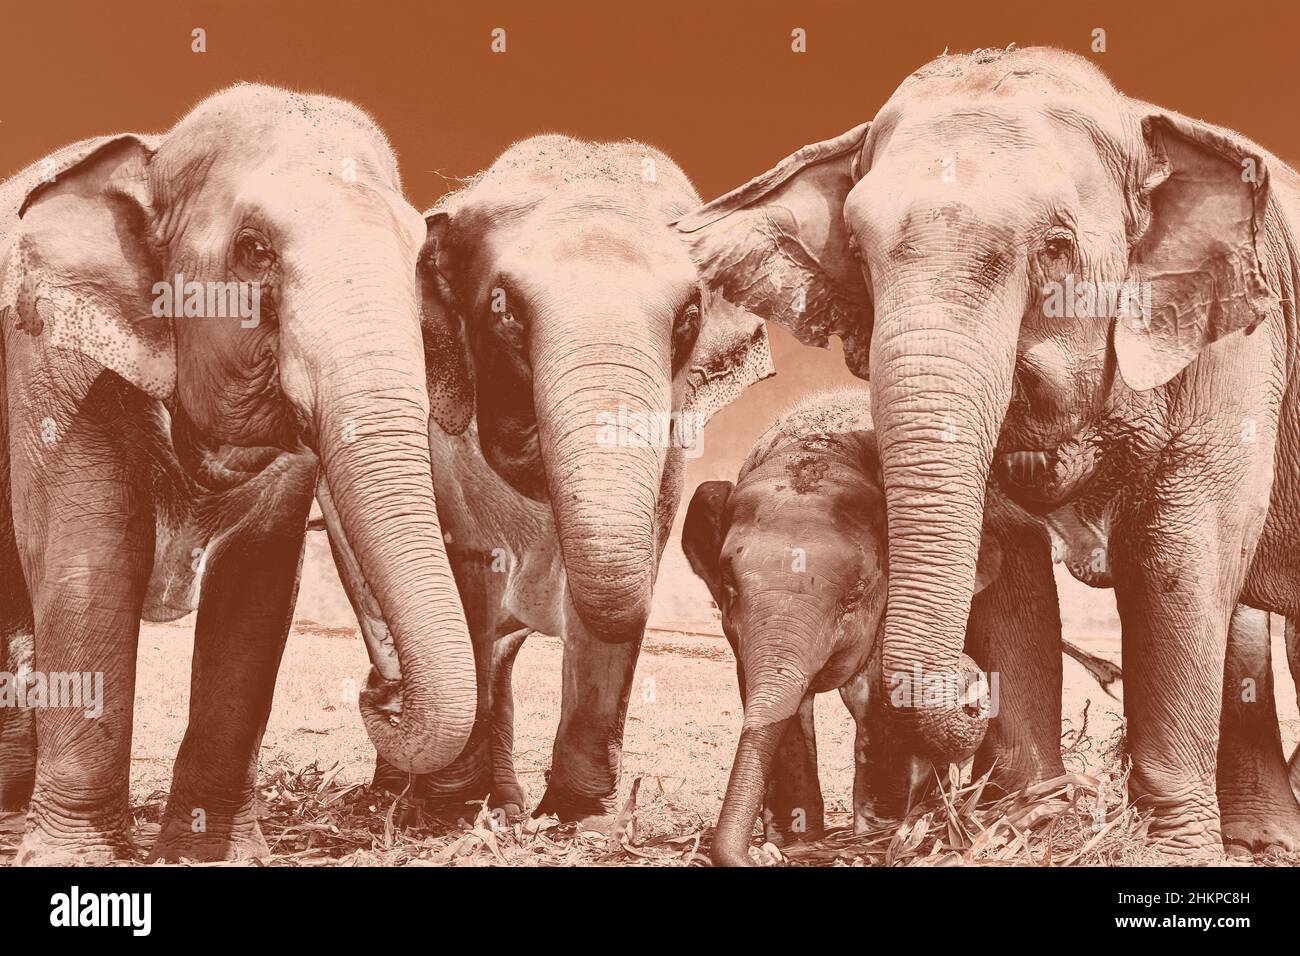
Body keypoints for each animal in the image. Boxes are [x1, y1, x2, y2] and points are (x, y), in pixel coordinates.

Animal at [0, 85, 480, 863]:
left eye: (419, 261)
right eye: (254, 250)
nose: (379, 692)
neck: (155, 156)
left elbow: (257, 588)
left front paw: (212, 851)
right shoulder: (54, 360)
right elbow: (91, 564)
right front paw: (72, 856)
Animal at [323, 134, 769, 832]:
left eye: (688, 316)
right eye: (503, 310)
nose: (379, 694)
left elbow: (618, 589)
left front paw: (580, 818)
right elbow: (465, 576)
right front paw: (451, 814)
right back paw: (410, 795)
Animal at [676, 44, 1300, 853]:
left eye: (1057, 249)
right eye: (857, 251)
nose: (973, 695)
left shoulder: (1238, 335)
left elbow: (1181, 551)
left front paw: (1170, 852)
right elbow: (1009, 553)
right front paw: (1032, 823)